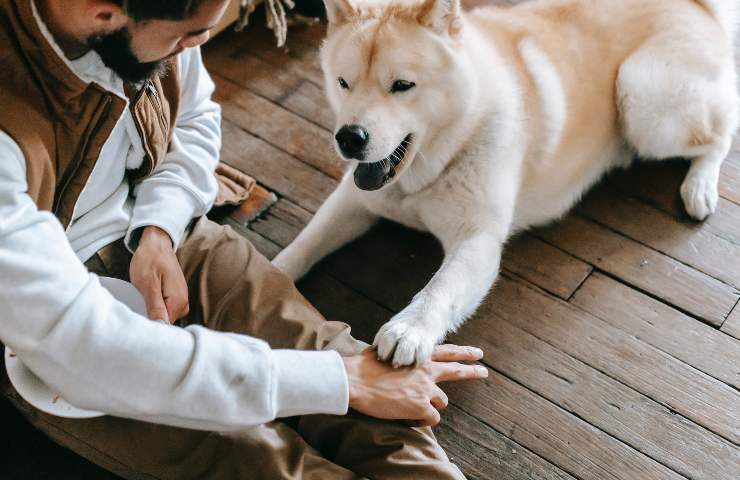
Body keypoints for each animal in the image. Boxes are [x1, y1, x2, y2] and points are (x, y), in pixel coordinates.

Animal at [274, 0, 740, 366]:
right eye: (343, 82)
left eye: (402, 86)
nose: (349, 138)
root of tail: (697, 5)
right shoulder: (353, 199)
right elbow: (305, 243)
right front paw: (270, 275)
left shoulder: (477, 239)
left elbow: (440, 288)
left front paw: (410, 330)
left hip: (642, 98)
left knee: (722, 133)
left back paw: (699, 186)